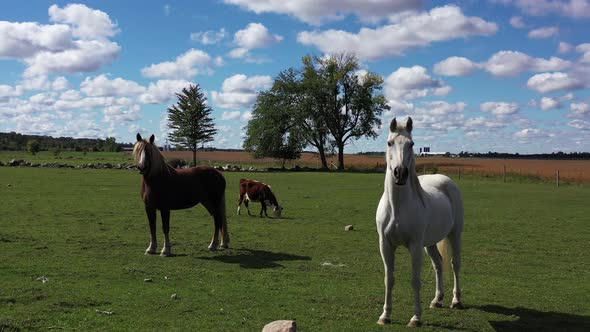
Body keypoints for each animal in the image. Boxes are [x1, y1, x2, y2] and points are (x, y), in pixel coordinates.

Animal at [376, 117, 464, 326]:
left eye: (412, 144)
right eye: (389, 143)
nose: (400, 173)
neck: (397, 208)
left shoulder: (415, 246)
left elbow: (415, 280)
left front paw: (416, 317)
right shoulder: (386, 245)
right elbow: (389, 279)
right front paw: (385, 316)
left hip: (455, 234)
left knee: (455, 263)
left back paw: (456, 301)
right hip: (430, 243)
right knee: (438, 264)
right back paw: (437, 300)